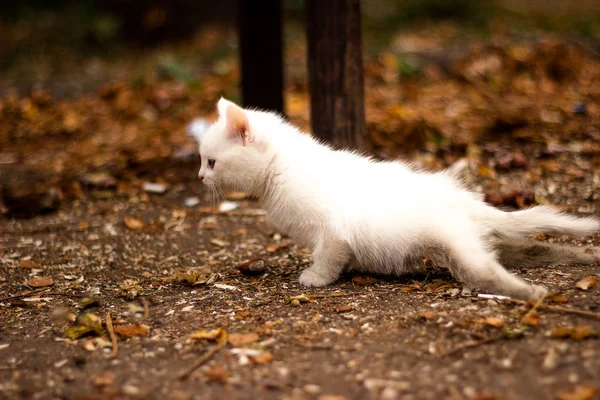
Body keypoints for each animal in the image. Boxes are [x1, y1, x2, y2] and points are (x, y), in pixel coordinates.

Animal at [198, 98, 600, 300]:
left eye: (211, 161)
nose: (200, 177)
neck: (281, 169)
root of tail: (467, 203)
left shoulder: (333, 230)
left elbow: (328, 256)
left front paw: (316, 278)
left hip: (458, 246)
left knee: (488, 270)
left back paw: (531, 293)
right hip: (479, 240)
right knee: (534, 248)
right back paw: (585, 257)